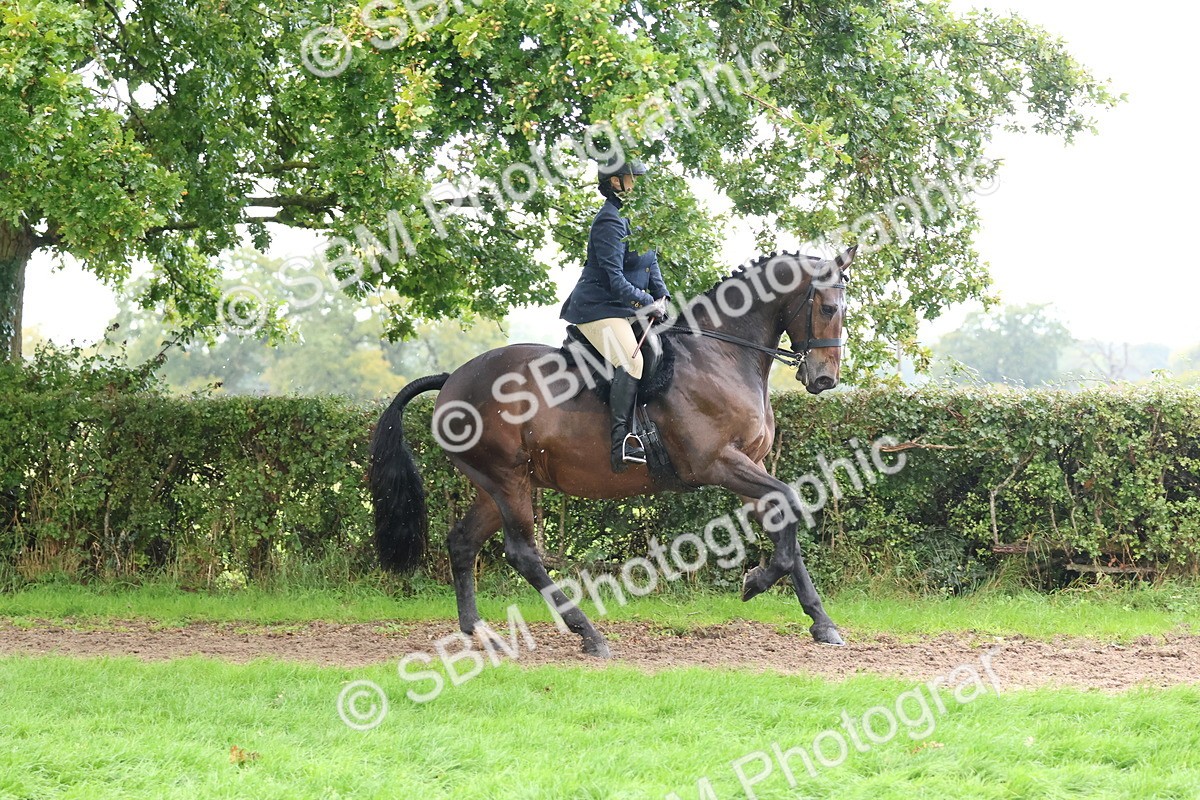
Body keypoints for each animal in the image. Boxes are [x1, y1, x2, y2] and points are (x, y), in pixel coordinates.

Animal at [370, 247, 856, 657]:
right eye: (828, 309)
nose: (824, 379)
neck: (719, 354)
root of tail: (452, 380)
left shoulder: (749, 464)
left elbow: (784, 520)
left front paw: (822, 623)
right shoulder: (718, 463)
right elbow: (789, 503)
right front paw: (756, 582)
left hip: (498, 485)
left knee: (463, 541)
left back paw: (479, 632)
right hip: (507, 481)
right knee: (522, 553)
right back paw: (589, 634)